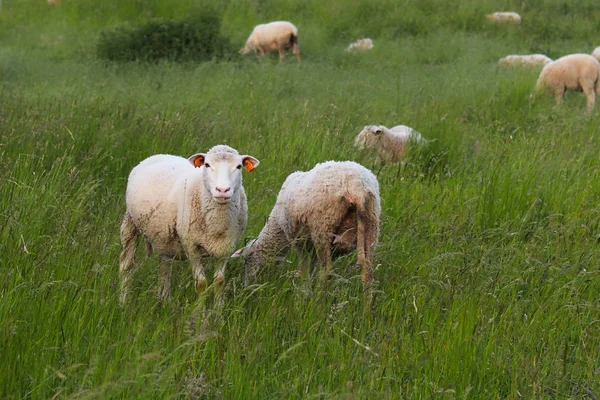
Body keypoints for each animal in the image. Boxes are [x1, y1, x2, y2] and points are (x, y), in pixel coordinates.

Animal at [119, 145, 260, 304]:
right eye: (207, 164)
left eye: (239, 166)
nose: (222, 190)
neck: (217, 224)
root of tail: (158, 155)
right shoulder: (191, 247)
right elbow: (201, 283)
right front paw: (199, 309)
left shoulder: (226, 248)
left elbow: (220, 281)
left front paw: (219, 307)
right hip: (130, 222)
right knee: (126, 264)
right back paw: (123, 300)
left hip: (164, 237)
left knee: (164, 265)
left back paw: (165, 299)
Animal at [233, 161, 380, 296]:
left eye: (247, 260)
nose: (246, 288)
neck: (277, 227)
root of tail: (356, 187)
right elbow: (312, 269)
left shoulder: (298, 241)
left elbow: (304, 270)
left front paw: (304, 294)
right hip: (371, 227)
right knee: (368, 275)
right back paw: (366, 306)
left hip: (323, 227)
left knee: (327, 274)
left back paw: (318, 302)